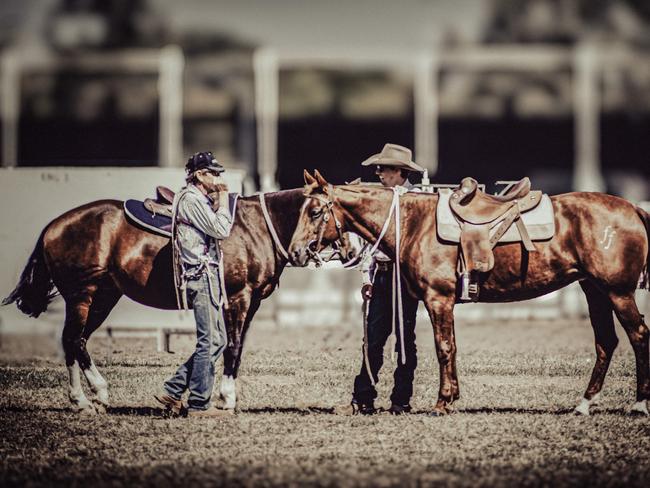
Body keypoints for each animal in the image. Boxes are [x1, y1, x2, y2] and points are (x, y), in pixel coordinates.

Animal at [5, 189, 346, 414]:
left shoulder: (248, 303)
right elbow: (232, 347)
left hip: (104, 296)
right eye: (316, 212)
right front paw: (226, 397)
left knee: (78, 342)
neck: (256, 227)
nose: (301, 252)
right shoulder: (239, 298)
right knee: (72, 340)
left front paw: (178, 395)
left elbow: (221, 345)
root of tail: (54, 226)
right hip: (81, 296)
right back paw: (82, 399)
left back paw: (96, 395)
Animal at [290, 171, 648, 416]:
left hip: (617, 292)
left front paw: (442, 402)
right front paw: (451, 397)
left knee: (638, 335)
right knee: (606, 342)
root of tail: (634, 209)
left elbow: (444, 348)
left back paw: (640, 404)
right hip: (595, 291)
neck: (413, 222)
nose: (296, 251)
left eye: (315, 212)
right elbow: (447, 347)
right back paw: (584, 404)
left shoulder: (439, 299)